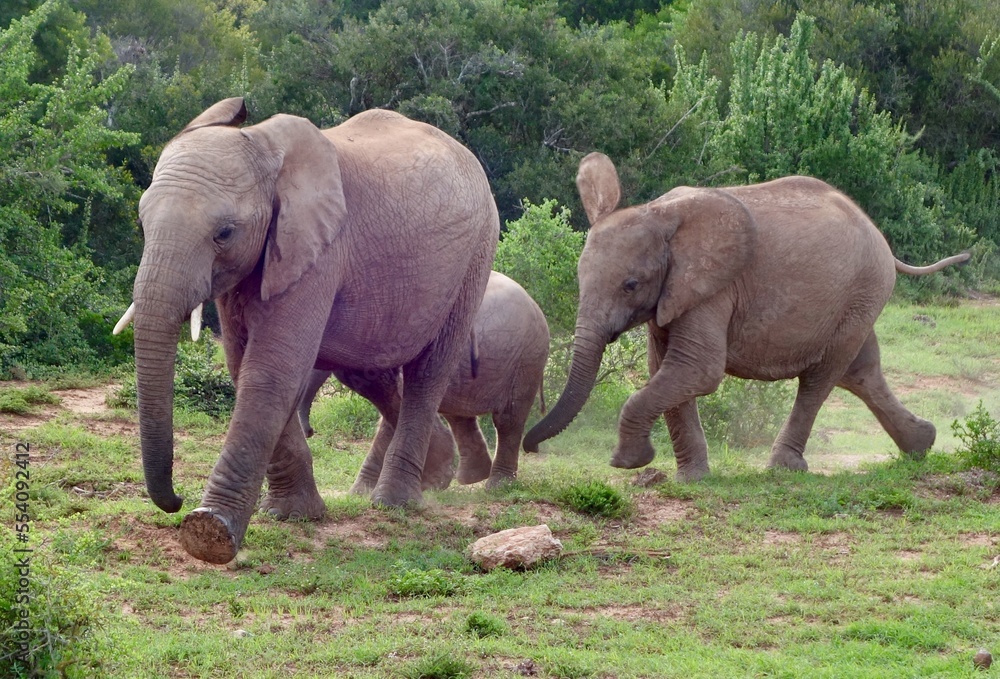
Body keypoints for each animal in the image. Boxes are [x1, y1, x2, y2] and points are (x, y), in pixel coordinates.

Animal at [117, 98, 499, 563]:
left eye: (224, 233)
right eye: (141, 225)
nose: (175, 501)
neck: (263, 146)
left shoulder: (319, 251)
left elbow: (271, 370)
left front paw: (209, 532)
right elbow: (244, 364)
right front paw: (292, 515)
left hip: (476, 255)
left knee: (429, 372)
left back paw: (396, 503)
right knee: (369, 374)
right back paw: (436, 475)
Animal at [299, 271, 550, 489]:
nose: (309, 431)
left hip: (527, 358)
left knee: (507, 418)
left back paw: (494, 486)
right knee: (458, 414)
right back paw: (470, 478)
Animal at [523, 152, 969, 481]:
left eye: (630, 285)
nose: (532, 447)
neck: (659, 213)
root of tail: (880, 237)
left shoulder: (713, 289)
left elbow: (697, 369)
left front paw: (628, 463)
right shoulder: (674, 294)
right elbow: (664, 367)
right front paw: (692, 479)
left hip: (865, 288)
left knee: (822, 377)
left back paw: (783, 469)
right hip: (858, 298)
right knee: (860, 371)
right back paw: (922, 444)